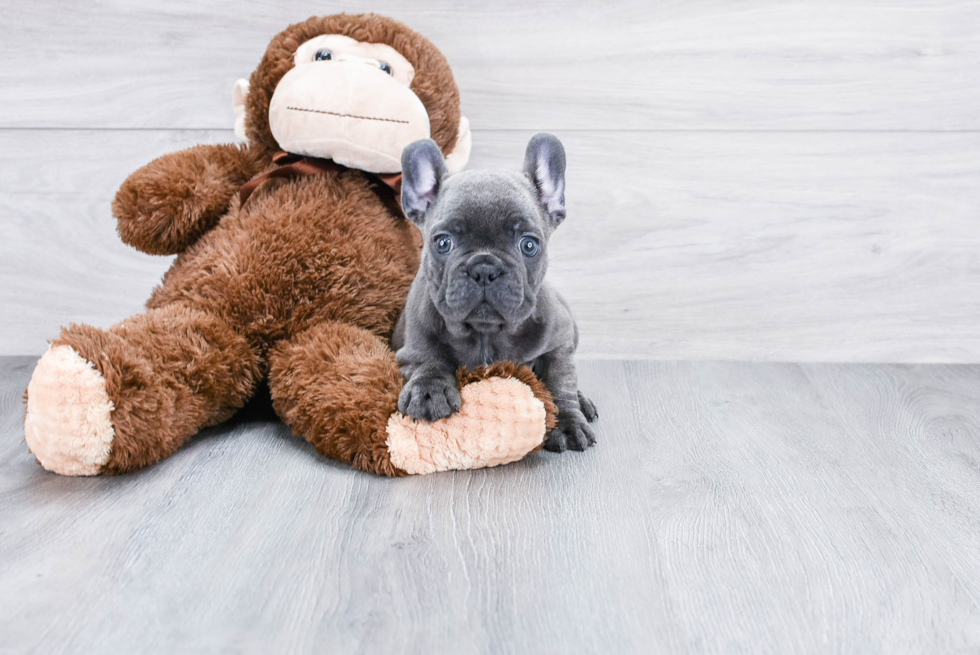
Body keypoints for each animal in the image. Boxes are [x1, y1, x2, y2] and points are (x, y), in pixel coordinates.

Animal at [390, 133, 596, 452]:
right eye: (443, 243)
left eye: (528, 245)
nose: (484, 268)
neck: (485, 331)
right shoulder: (414, 343)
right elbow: (429, 359)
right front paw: (429, 393)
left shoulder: (560, 341)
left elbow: (560, 381)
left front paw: (568, 423)